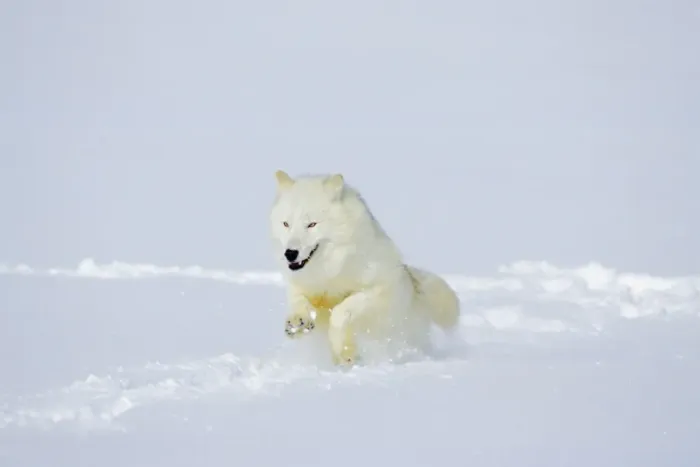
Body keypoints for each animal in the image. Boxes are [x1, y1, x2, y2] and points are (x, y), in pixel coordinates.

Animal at [269, 170, 460, 366]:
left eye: (312, 224)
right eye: (286, 224)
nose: (290, 253)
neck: (332, 271)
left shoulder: (380, 288)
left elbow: (341, 312)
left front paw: (345, 352)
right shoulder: (301, 285)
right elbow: (298, 300)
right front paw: (297, 323)